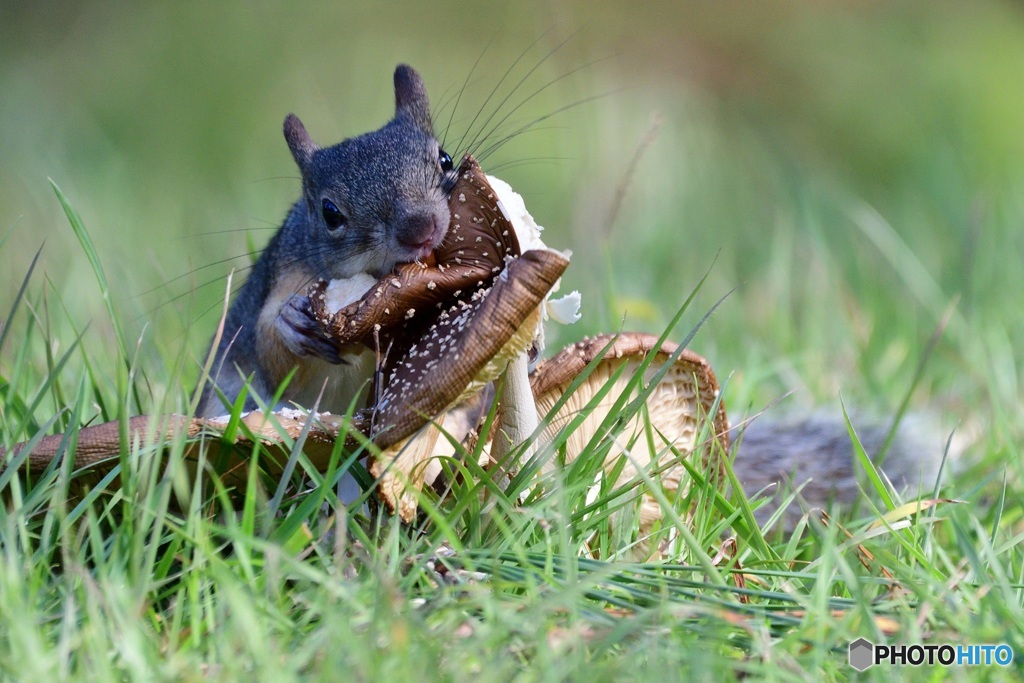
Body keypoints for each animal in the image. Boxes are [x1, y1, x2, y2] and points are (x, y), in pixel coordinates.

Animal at [195, 65, 954, 524]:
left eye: (444, 160)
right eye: (329, 212)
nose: (421, 228)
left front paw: (529, 346)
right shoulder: (280, 282)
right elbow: (271, 342)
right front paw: (296, 324)